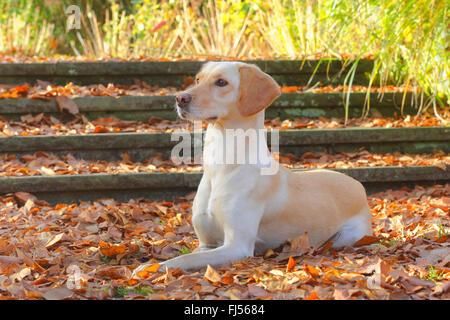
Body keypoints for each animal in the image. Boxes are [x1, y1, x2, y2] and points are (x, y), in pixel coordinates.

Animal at [131, 61, 372, 276]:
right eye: (198, 79)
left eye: (221, 82)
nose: (180, 98)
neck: (222, 163)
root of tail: (358, 184)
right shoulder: (206, 243)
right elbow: (187, 255)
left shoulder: (237, 246)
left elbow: (184, 259)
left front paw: (152, 267)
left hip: (347, 237)